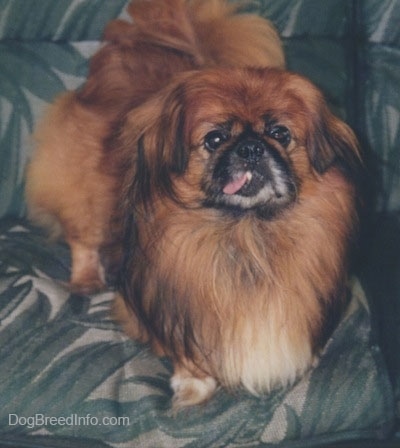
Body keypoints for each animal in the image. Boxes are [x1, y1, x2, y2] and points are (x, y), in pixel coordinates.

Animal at [26, 0, 360, 410]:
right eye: (214, 139)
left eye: (280, 133)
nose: (251, 148)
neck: (247, 232)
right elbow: (187, 345)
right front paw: (193, 383)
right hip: (85, 194)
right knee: (83, 238)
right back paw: (86, 280)